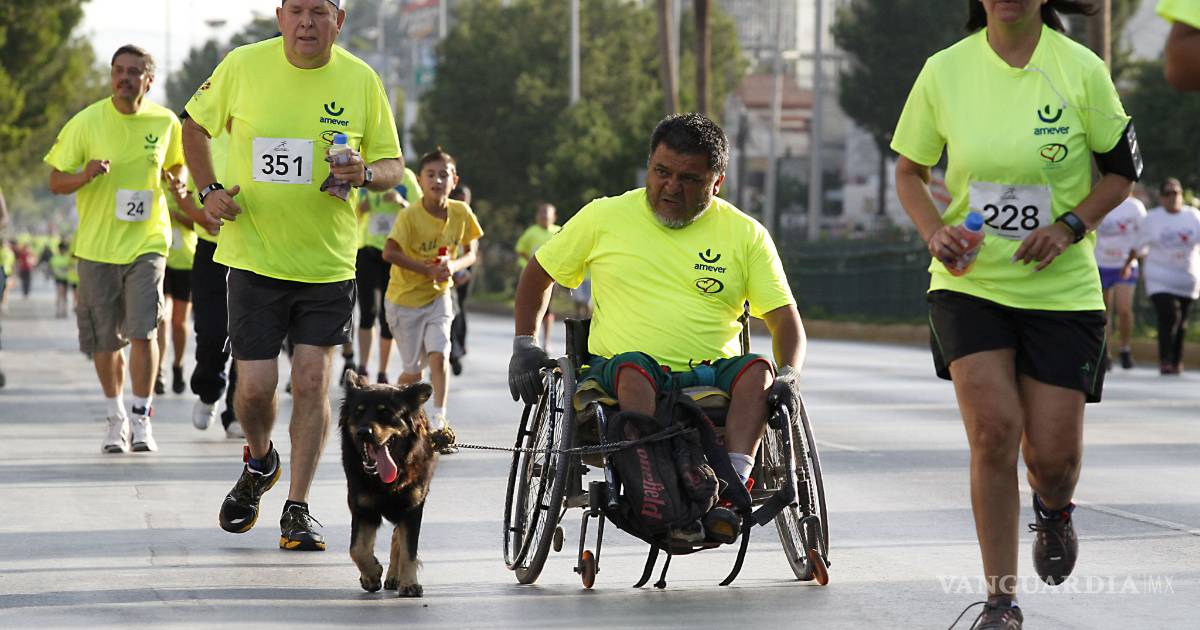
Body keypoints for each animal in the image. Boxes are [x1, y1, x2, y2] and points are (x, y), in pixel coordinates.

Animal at [340, 370, 438, 597]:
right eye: (358, 412)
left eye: (385, 413)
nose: (363, 433)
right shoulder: (362, 508)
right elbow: (357, 549)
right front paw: (371, 574)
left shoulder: (412, 508)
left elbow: (408, 549)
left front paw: (409, 584)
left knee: (397, 539)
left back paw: (396, 576)